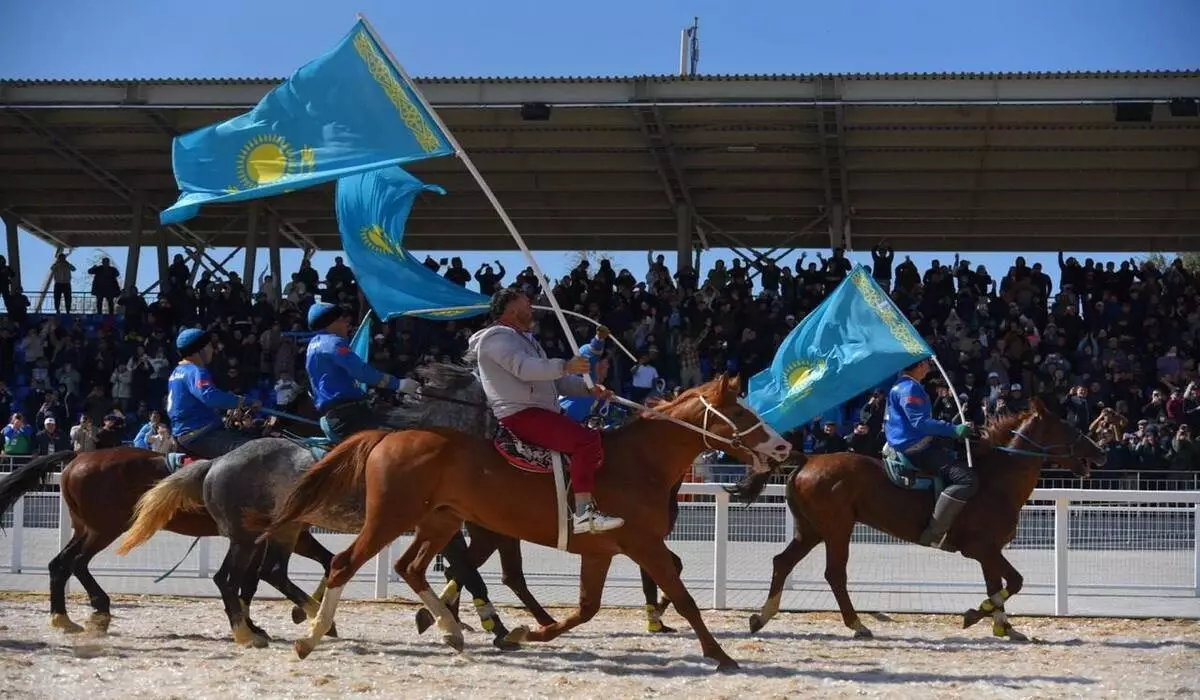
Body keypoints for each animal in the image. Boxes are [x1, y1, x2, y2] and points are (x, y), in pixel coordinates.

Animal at [258, 374, 792, 672]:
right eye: (740, 409)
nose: (784, 446)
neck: (637, 461)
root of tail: (389, 435)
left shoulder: (601, 552)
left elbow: (586, 610)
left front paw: (526, 634)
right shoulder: (644, 545)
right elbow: (683, 598)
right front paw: (720, 654)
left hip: (439, 522)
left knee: (410, 567)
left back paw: (450, 629)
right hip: (391, 518)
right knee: (344, 565)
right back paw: (310, 636)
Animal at [724, 396, 1099, 643]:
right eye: (1067, 425)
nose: (1099, 450)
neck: (995, 481)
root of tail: (809, 458)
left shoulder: (989, 552)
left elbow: (997, 586)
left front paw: (1004, 626)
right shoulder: (982, 548)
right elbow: (1014, 582)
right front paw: (974, 615)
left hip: (811, 529)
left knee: (782, 562)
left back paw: (760, 617)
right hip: (836, 528)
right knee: (834, 574)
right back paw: (856, 624)